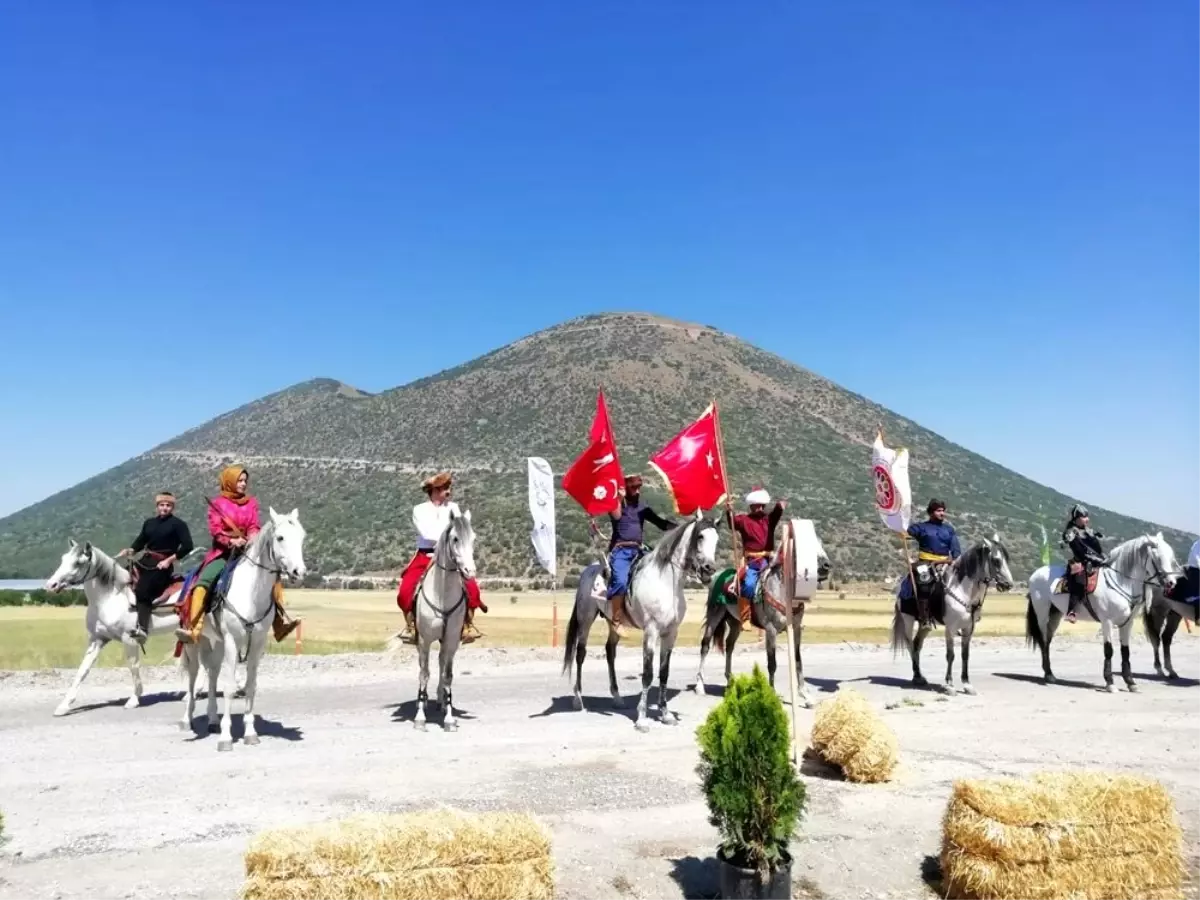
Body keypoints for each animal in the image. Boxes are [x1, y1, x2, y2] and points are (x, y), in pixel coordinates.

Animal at [45, 542, 194, 720]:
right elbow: (82, 670)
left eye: (78, 563)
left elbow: (133, 667)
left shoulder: (129, 639)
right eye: (63, 559)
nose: (51, 585)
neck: (110, 597)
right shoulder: (97, 640)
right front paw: (64, 706)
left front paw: (134, 699)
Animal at [564, 513, 720, 734]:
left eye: (717, 539)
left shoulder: (671, 633)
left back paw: (617, 697)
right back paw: (578, 699)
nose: (709, 570)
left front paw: (665, 713)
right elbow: (647, 674)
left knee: (610, 651)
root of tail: (589, 570)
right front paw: (642, 719)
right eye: (700, 536)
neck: (666, 582)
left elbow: (664, 673)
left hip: (614, 624)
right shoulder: (651, 631)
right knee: (580, 653)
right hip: (585, 618)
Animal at [696, 520, 835, 705]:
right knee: (705, 645)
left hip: (736, 623)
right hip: (714, 615)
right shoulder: (771, 630)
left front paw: (805, 695)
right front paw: (772, 693)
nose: (826, 565)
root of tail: (717, 576)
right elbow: (772, 663)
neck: (781, 589)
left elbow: (798, 660)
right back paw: (700, 686)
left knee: (729, 645)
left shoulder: (796, 628)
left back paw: (730, 682)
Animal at [892, 535, 1012, 696]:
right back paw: (917, 677)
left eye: (1007, 558)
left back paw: (919, 676)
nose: (1008, 584)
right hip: (907, 621)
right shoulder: (951, 628)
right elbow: (950, 655)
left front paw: (967, 684)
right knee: (911, 646)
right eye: (996, 560)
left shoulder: (968, 629)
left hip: (924, 625)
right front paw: (949, 685)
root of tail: (901, 586)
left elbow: (965, 655)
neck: (963, 591)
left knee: (917, 645)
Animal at [1027, 532, 1185, 696]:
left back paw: (1050, 674)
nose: (1172, 583)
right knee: (1043, 641)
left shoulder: (1127, 623)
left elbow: (1125, 651)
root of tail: (1036, 574)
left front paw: (1131, 683)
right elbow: (1109, 650)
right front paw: (1110, 683)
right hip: (1042, 614)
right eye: (1158, 557)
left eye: (1171, 557)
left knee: (1048, 641)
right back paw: (1048, 674)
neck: (1120, 582)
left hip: (1055, 614)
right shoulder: (1107, 622)